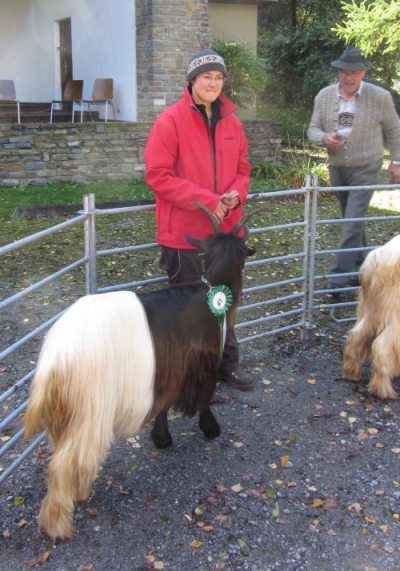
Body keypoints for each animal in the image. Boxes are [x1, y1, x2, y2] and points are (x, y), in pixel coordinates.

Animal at [23, 204, 260, 540]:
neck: (210, 292)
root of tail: (55, 357)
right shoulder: (199, 364)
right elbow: (204, 397)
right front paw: (211, 429)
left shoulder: (164, 372)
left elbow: (161, 406)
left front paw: (161, 438)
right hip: (89, 405)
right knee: (64, 462)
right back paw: (59, 523)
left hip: (66, 409)